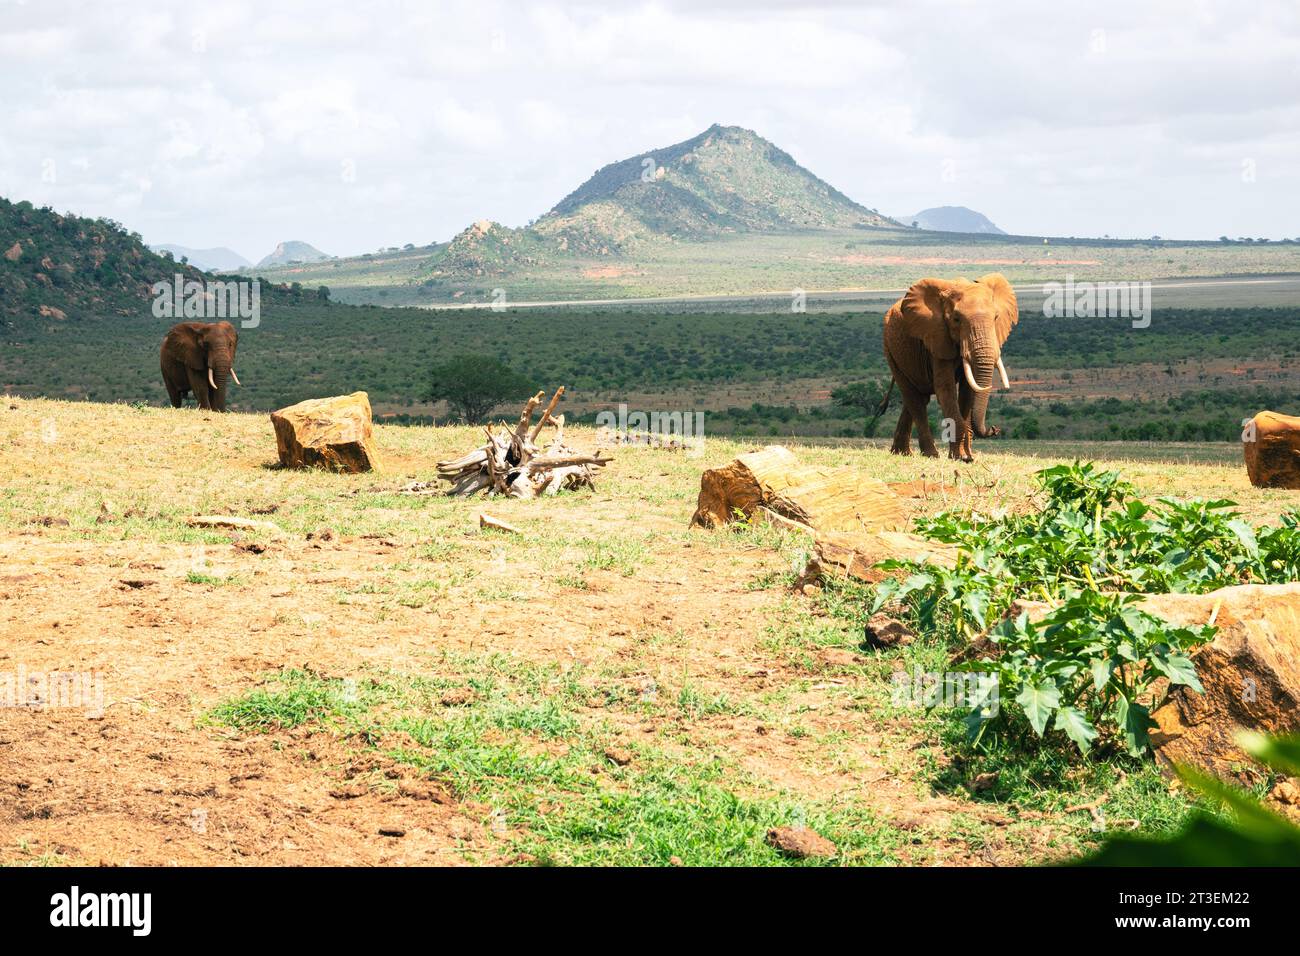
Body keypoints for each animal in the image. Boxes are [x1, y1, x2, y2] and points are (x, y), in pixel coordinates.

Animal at [883, 270, 1013, 463]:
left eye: (996, 317)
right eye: (956, 320)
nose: (995, 429)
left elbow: (968, 390)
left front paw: (965, 456)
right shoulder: (936, 337)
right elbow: (945, 389)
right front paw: (959, 457)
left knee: (917, 397)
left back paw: (901, 453)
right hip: (890, 349)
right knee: (913, 397)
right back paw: (930, 454)